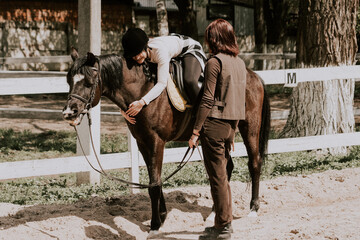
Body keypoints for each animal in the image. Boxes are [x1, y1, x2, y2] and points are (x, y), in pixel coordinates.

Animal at [62, 48, 270, 234]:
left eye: (88, 82)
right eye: (69, 80)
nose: (69, 112)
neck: (144, 92)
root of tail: (253, 76)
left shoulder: (157, 142)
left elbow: (154, 185)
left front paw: (155, 224)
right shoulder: (142, 142)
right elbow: (156, 181)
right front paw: (162, 215)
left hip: (250, 128)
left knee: (254, 163)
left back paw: (253, 208)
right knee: (224, 168)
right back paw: (214, 214)